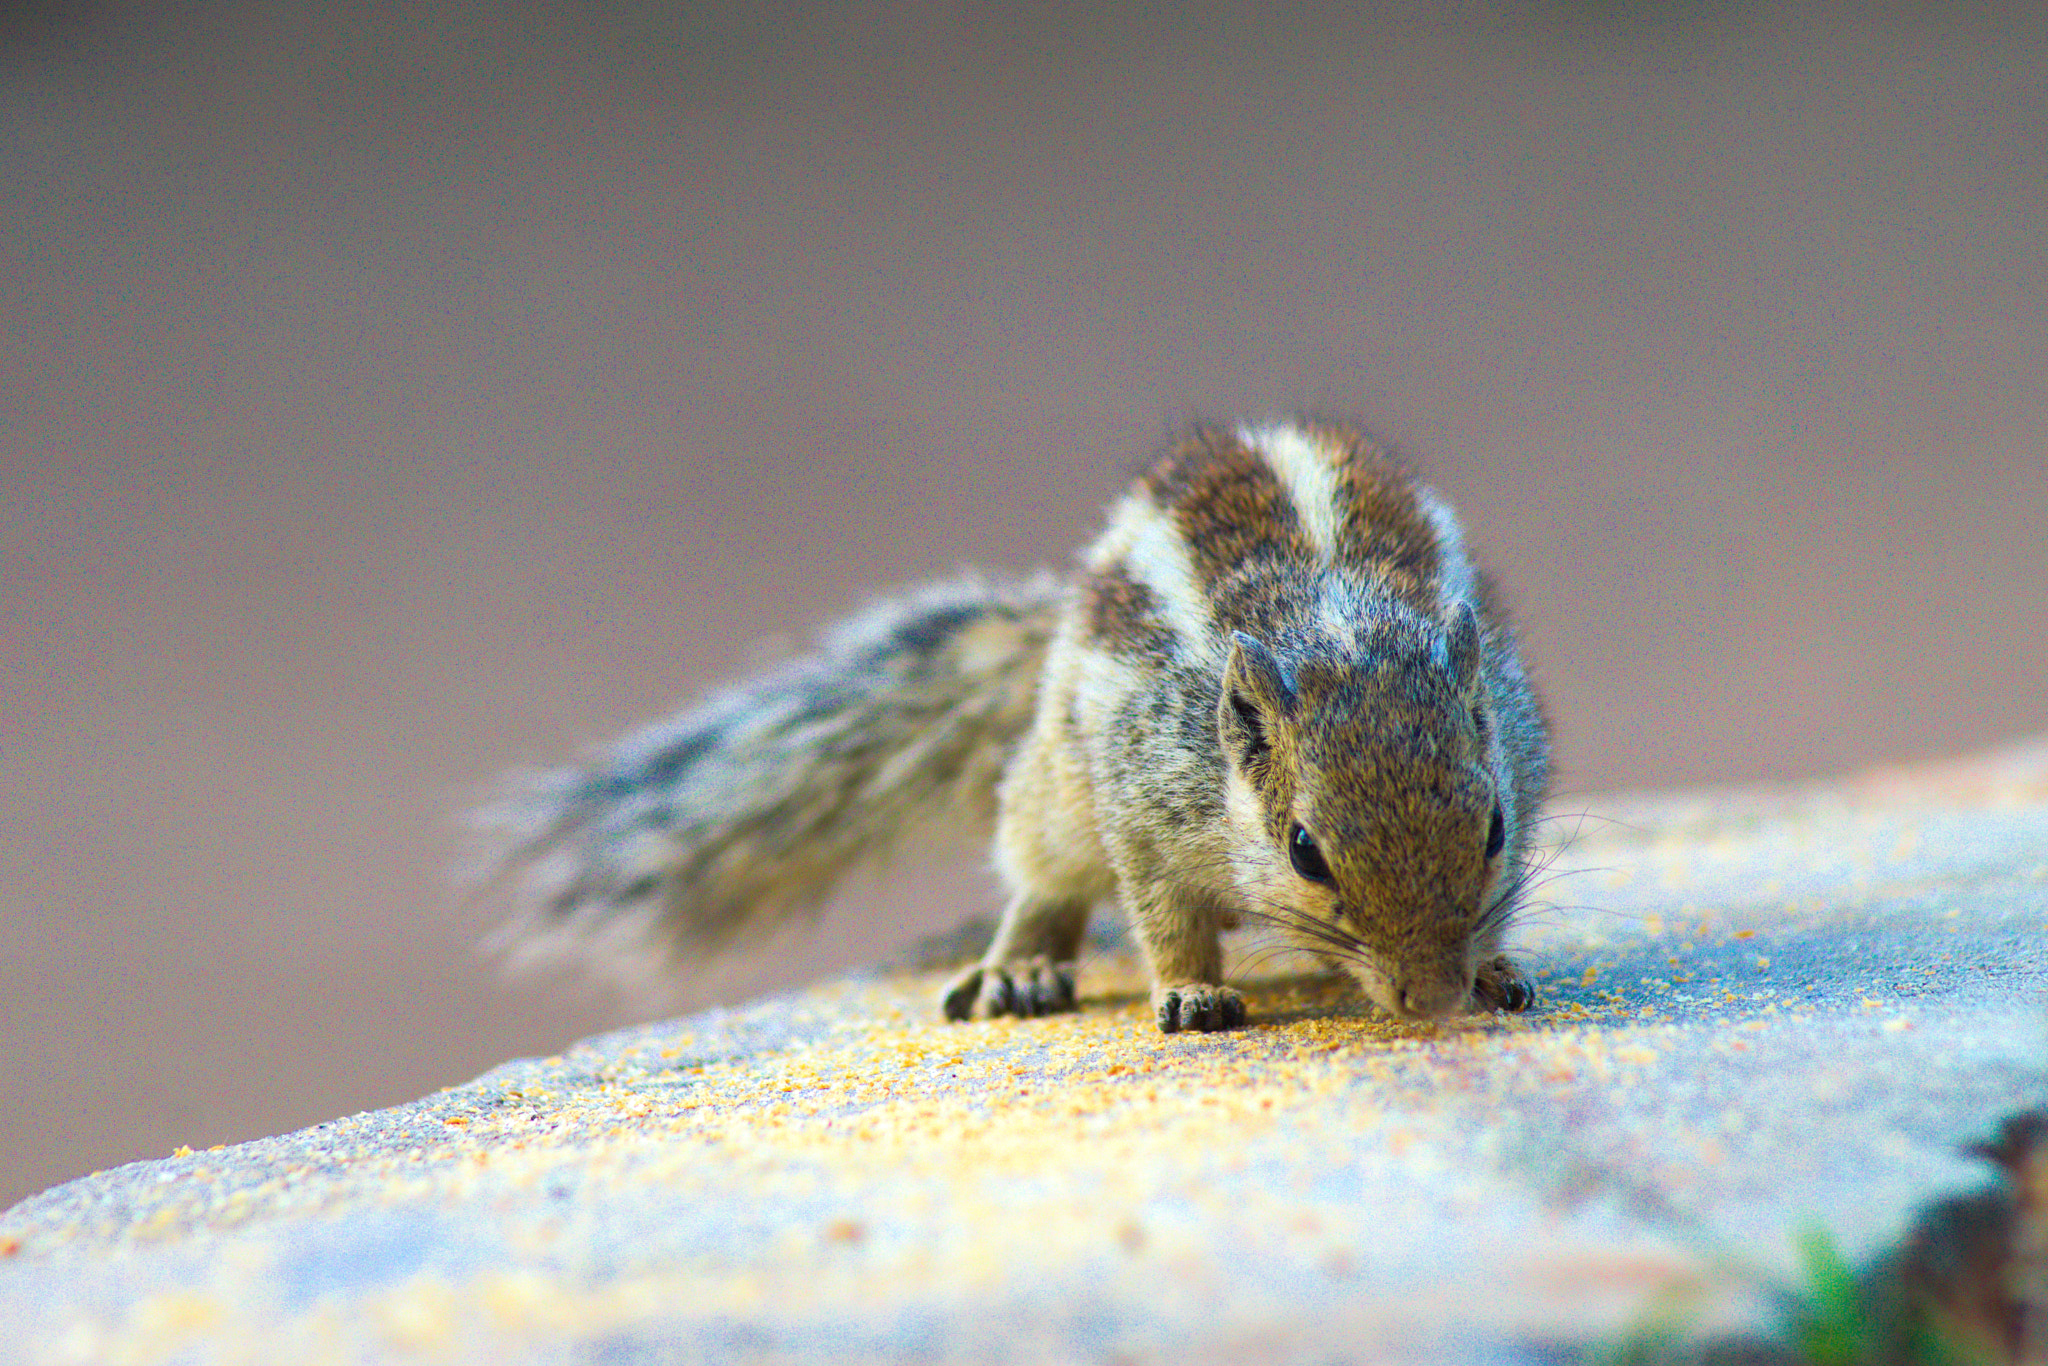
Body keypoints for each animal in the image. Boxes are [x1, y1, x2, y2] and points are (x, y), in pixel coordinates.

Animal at [481, 420, 1551, 1034]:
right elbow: (1162, 915)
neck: (1336, 628)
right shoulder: (1142, 806)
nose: (1433, 997)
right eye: (1305, 851)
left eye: (1494, 830)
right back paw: (1022, 970)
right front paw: (1192, 992)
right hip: (1053, 794)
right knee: (1044, 881)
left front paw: (1496, 968)